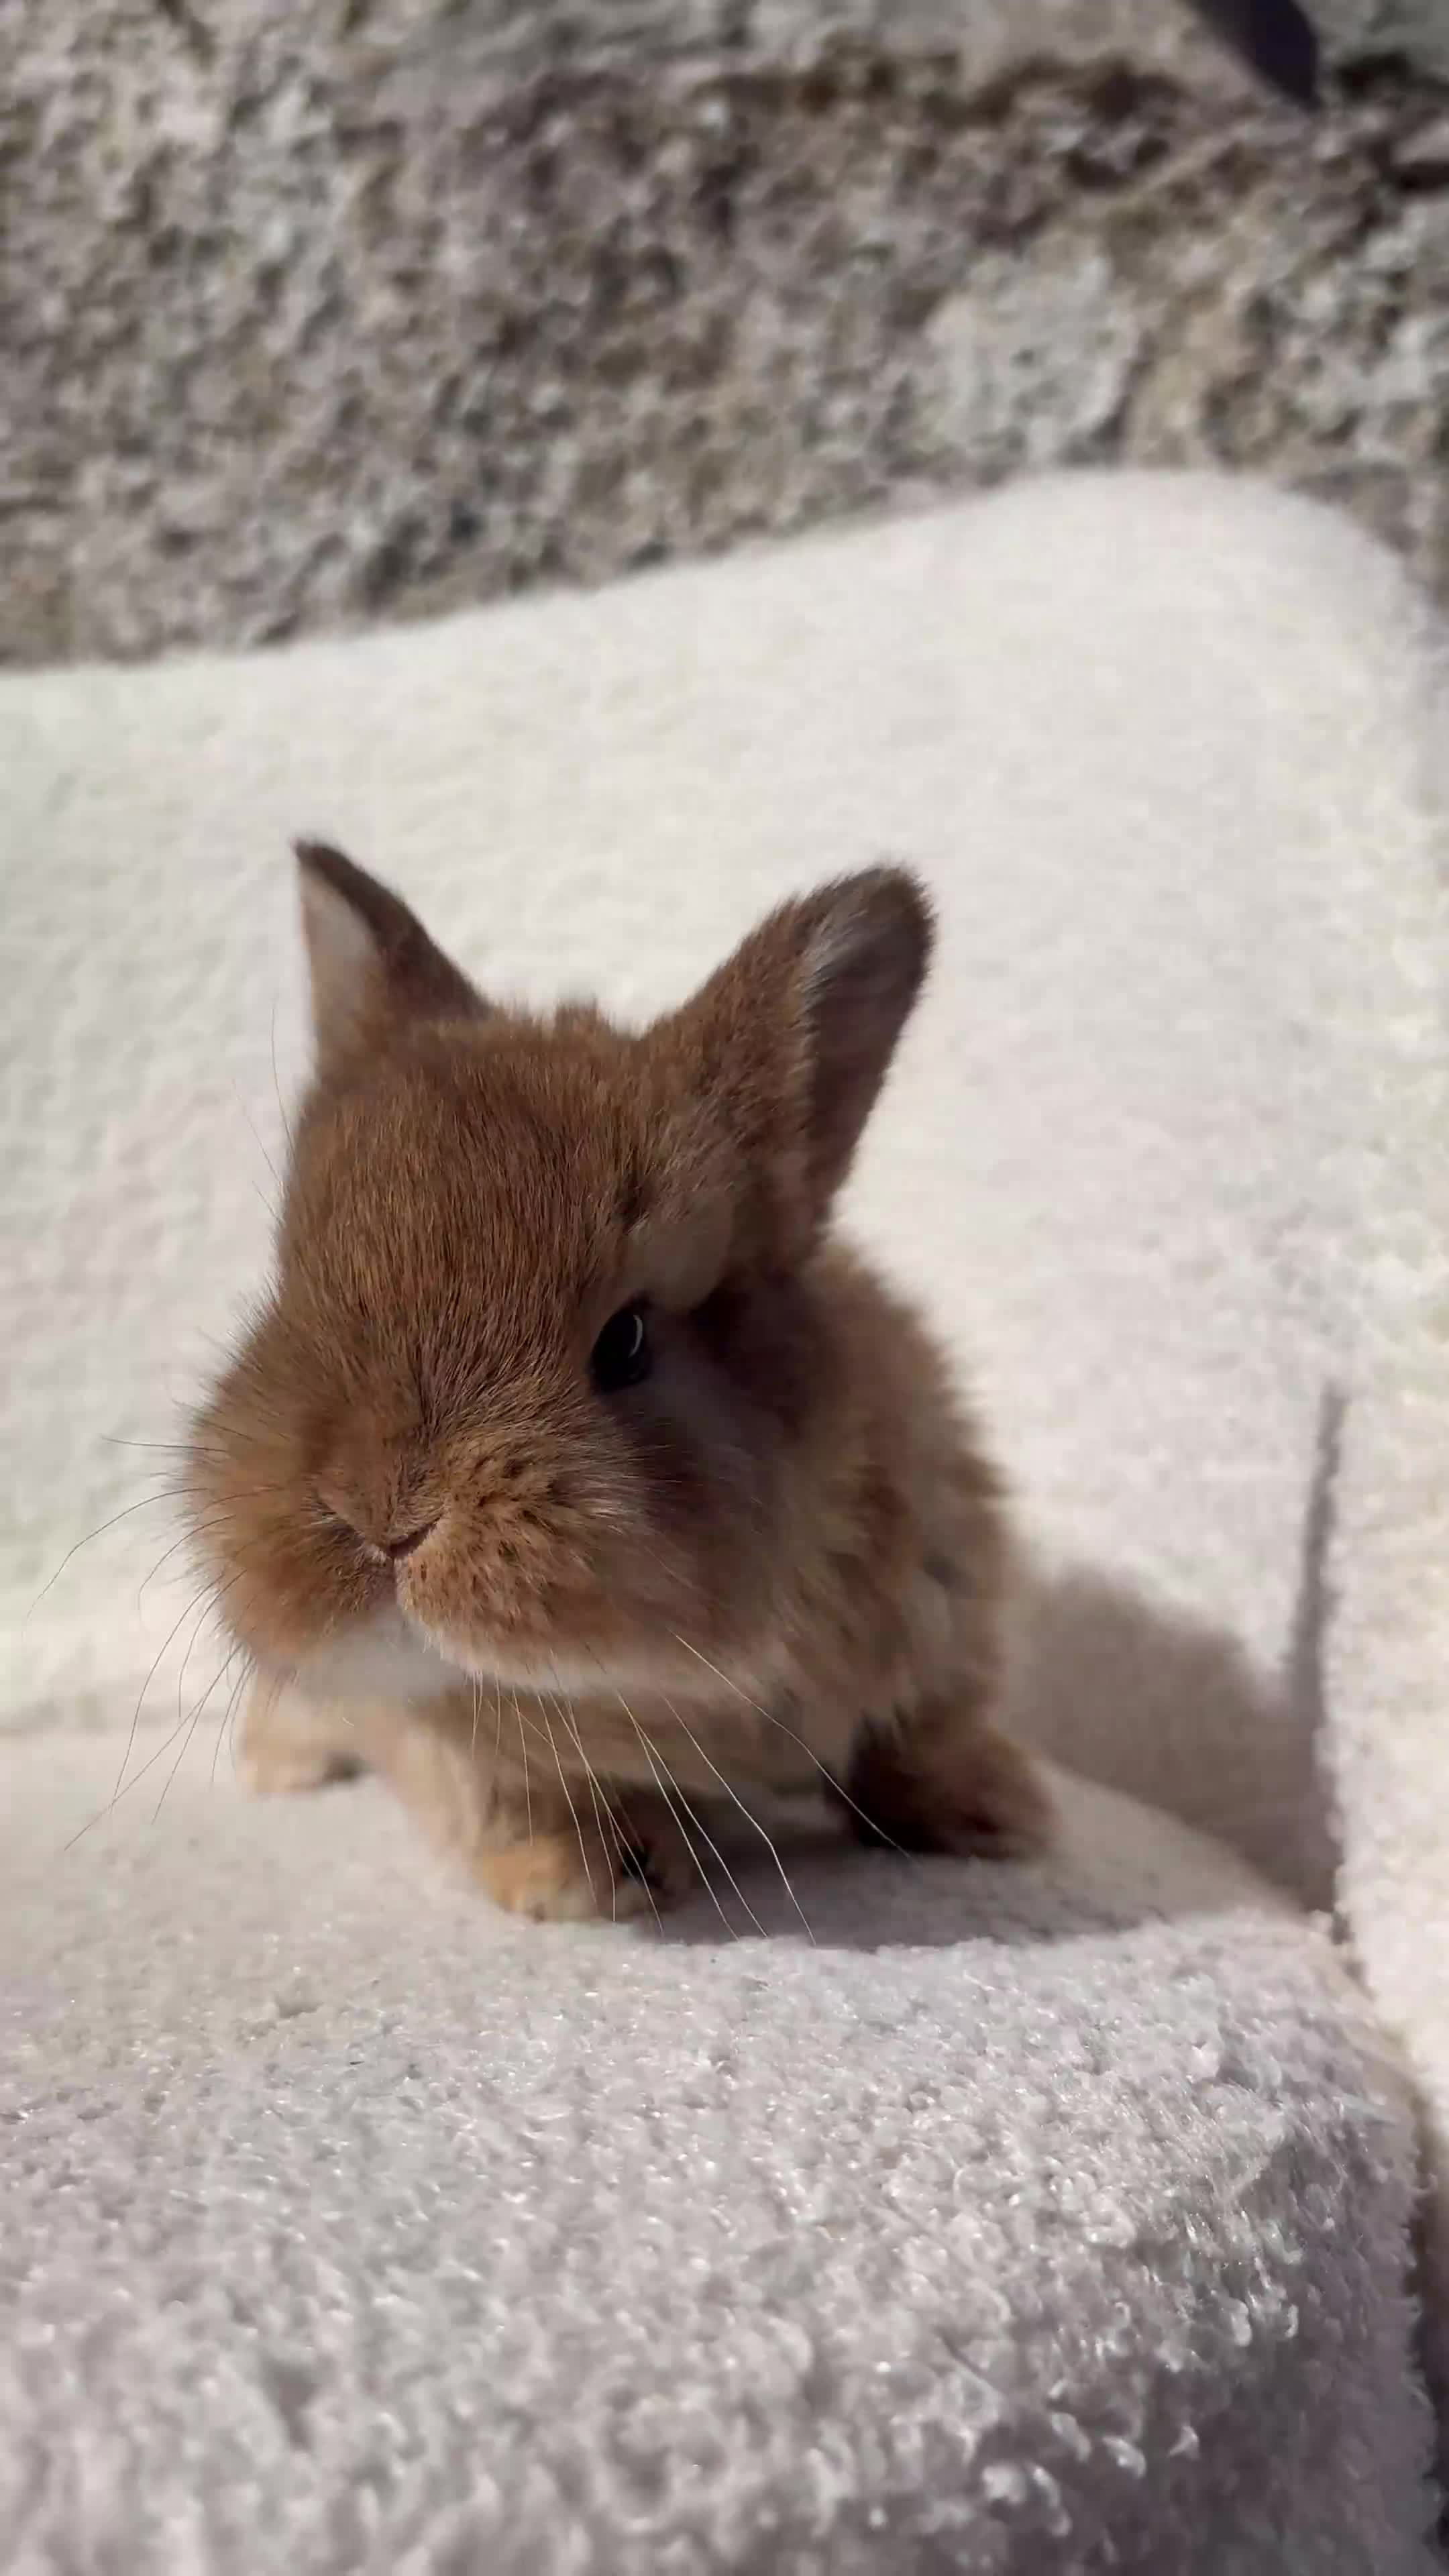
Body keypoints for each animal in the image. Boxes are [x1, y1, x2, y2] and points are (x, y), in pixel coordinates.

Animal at [186, 842, 1050, 1921]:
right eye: (290, 1293)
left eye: (627, 1340)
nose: (380, 1517)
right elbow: (520, 1795)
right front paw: (591, 1873)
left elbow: (920, 1730)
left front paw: (1001, 1817)